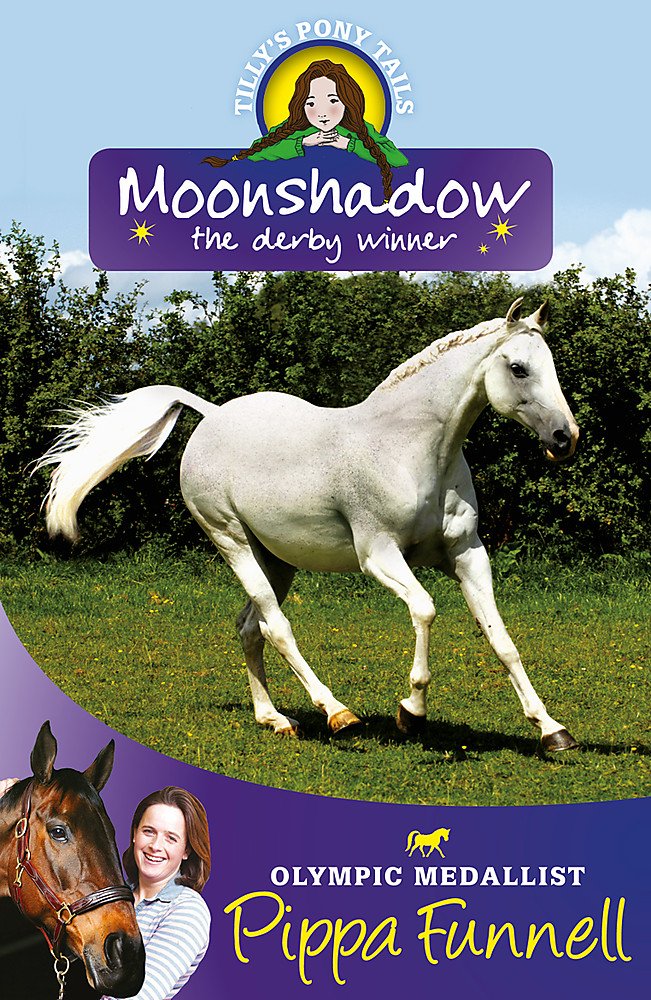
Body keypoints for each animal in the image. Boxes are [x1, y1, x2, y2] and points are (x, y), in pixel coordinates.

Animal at [36, 297, 579, 752]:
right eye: (518, 368)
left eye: (551, 366)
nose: (565, 437)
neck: (412, 448)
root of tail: (212, 416)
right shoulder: (379, 555)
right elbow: (425, 610)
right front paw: (412, 713)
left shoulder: (467, 554)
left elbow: (501, 640)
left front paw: (552, 730)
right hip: (231, 540)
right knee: (276, 626)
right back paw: (337, 713)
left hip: (276, 560)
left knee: (249, 627)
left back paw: (274, 718)